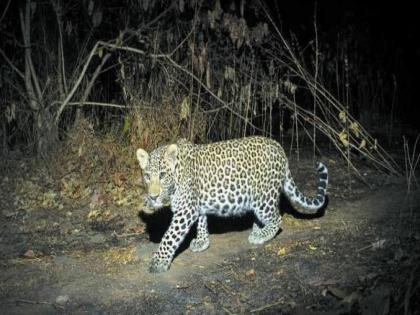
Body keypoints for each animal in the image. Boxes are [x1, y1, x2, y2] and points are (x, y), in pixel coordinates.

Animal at [137, 137, 328, 272]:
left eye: (162, 175)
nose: (153, 197)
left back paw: (261, 235)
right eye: (147, 176)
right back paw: (257, 229)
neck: (177, 174)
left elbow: (169, 237)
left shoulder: (185, 210)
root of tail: (279, 147)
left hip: (263, 197)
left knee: (277, 219)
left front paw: (158, 262)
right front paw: (202, 242)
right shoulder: (196, 205)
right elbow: (202, 222)